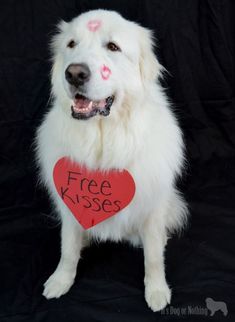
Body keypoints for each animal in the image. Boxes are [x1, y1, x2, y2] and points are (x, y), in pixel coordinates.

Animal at [35, 9, 189, 312]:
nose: (75, 73)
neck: (103, 138)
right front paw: (61, 280)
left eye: (113, 47)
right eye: (71, 44)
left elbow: (154, 256)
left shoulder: (153, 207)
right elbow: (67, 248)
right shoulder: (69, 202)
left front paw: (156, 290)